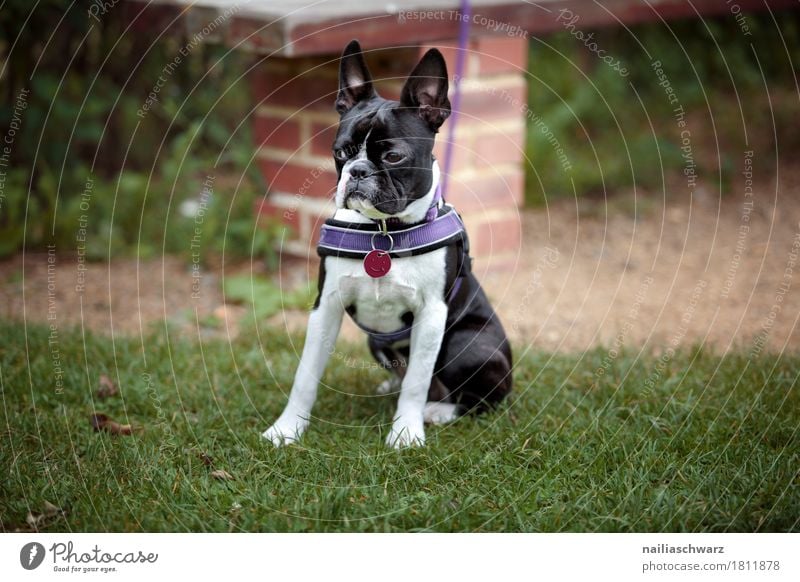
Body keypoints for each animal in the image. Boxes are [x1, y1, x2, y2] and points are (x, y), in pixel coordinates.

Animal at [262, 41, 512, 450]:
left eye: (393, 157)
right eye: (341, 152)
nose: (358, 171)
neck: (383, 232)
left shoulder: (432, 314)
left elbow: (416, 384)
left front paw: (406, 432)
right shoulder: (325, 307)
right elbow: (305, 375)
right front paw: (287, 428)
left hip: (468, 343)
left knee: (482, 399)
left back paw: (438, 410)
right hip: (376, 343)